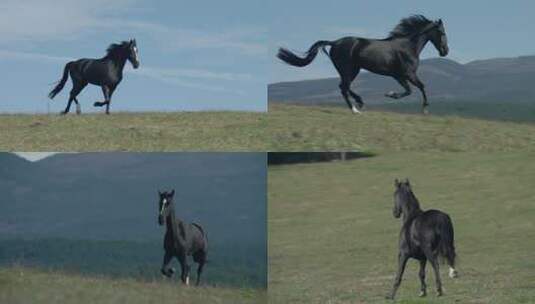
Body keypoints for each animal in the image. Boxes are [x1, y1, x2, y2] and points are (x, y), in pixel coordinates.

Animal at [276, 14, 448, 114]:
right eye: (441, 32)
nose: (445, 51)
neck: (407, 46)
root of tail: (334, 42)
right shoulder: (409, 74)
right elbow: (420, 87)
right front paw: (425, 108)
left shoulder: (398, 75)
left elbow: (409, 91)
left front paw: (390, 94)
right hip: (349, 69)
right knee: (344, 87)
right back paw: (356, 107)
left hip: (351, 69)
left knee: (344, 87)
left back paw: (358, 104)